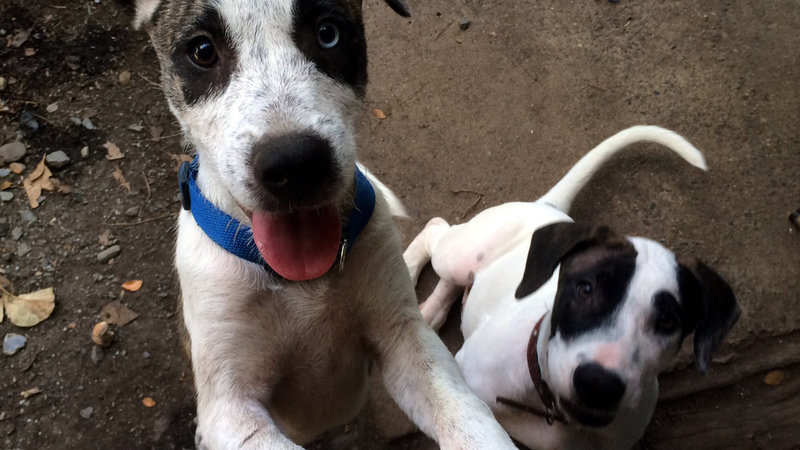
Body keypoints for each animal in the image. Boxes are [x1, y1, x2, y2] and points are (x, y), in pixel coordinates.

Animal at [130, 0, 517, 448]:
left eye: (328, 33)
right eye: (203, 51)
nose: (294, 164)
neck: (301, 281)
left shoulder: (403, 339)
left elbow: (469, 422)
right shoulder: (229, 407)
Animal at [404, 126, 741, 449]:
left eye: (668, 321)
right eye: (585, 289)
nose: (598, 384)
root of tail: (547, 207)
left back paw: (431, 310)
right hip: (460, 253)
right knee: (436, 228)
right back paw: (407, 269)